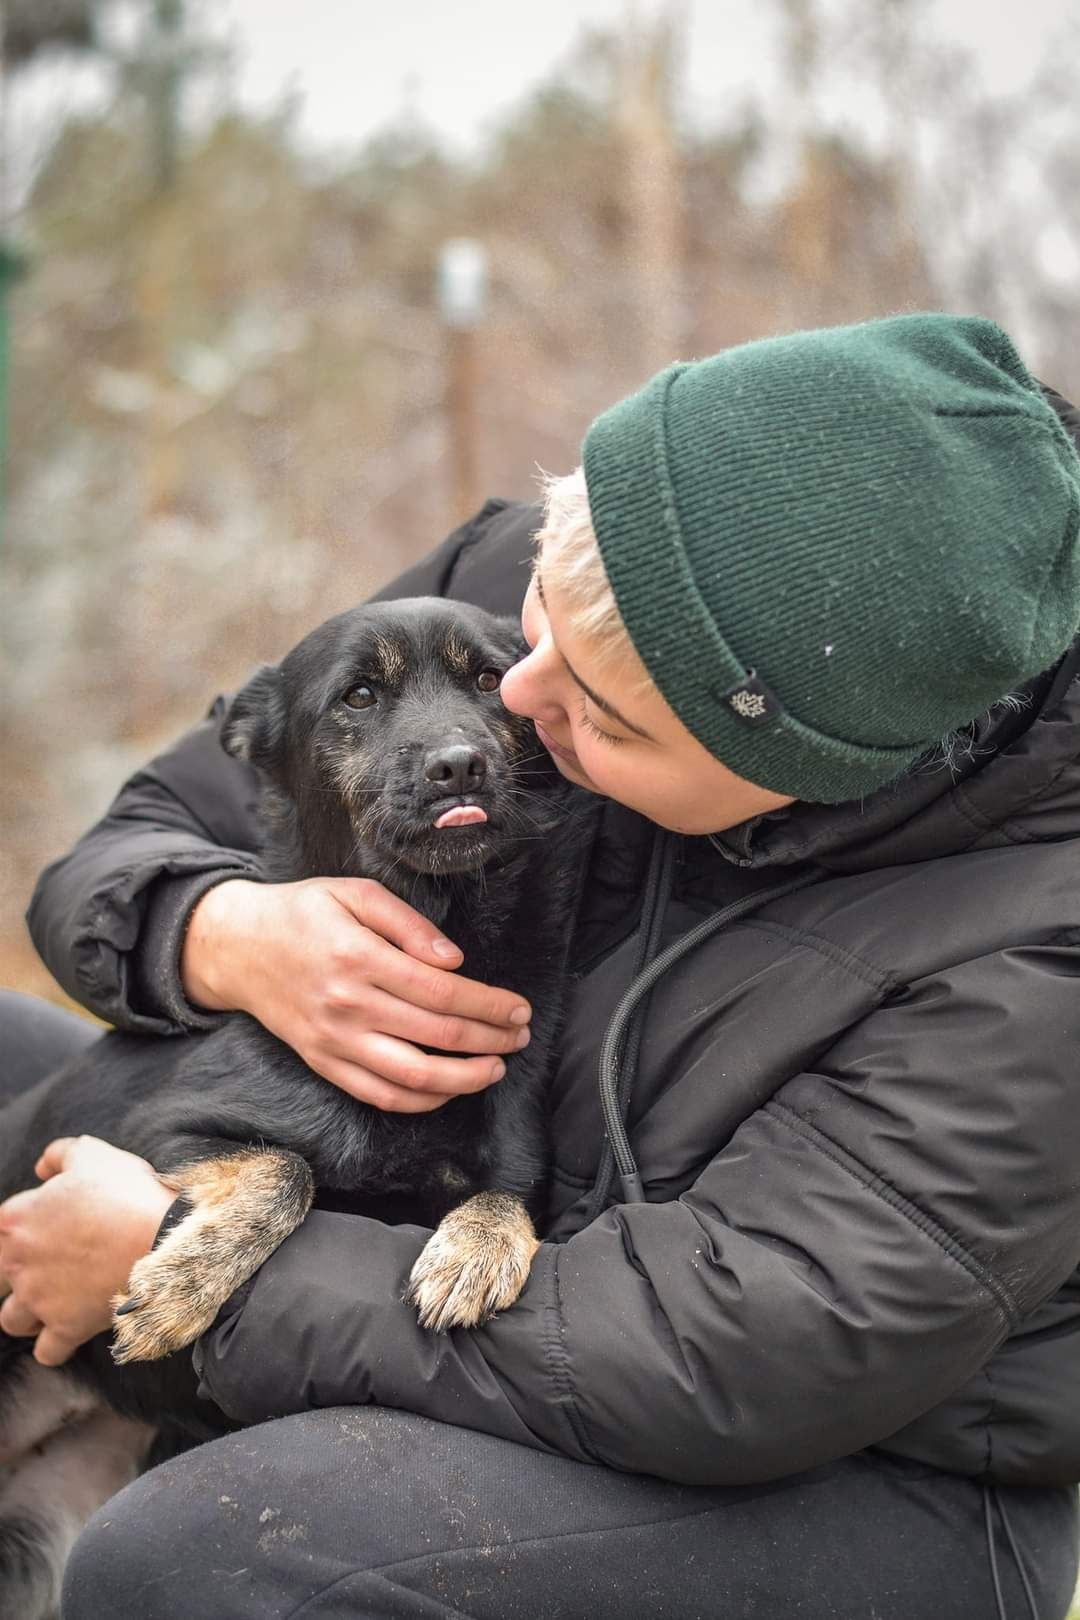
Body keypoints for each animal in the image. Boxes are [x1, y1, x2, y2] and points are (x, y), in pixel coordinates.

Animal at [2, 599, 592, 1620]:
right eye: (357, 696)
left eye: (490, 681)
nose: (459, 766)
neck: (447, 923)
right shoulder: (154, 1134)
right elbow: (288, 1168)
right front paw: (181, 1288)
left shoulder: (513, 1160)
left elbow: (502, 1197)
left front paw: (474, 1250)